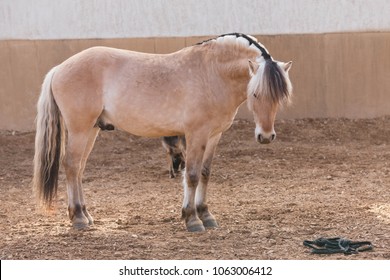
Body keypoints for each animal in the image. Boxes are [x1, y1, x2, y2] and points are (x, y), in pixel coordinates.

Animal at [33, 34, 292, 232]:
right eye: (256, 94)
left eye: (280, 96)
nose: (266, 136)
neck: (211, 73)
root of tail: (59, 69)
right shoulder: (196, 134)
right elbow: (192, 175)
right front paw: (192, 219)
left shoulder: (213, 136)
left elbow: (205, 174)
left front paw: (205, 215)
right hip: (80, 129)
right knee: (71, 166)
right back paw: (78, 217)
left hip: (91, 131)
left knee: (78, 168)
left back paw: (85, 216)